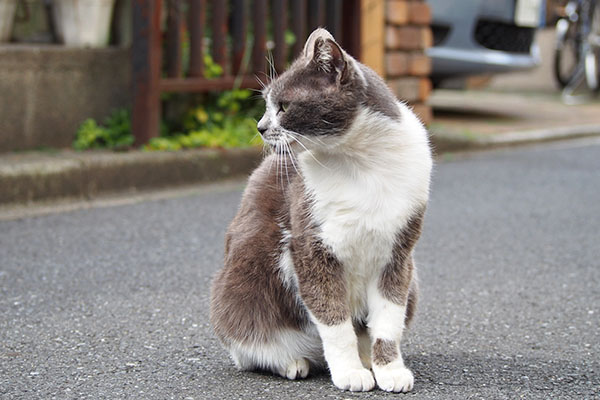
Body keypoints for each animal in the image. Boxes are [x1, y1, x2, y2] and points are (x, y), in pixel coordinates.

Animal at [211, 28, 432, 394]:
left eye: (283, 106)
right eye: (267, 105)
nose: (259, 126)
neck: (360, 162)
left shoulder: (399, 253)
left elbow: (388, 321)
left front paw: (389, 370)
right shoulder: (310, 247)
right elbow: (333, 319)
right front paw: (349, 372)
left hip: (414, 281)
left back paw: (366, 359)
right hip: (239, 289)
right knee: (248, 348)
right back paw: (293, 363)